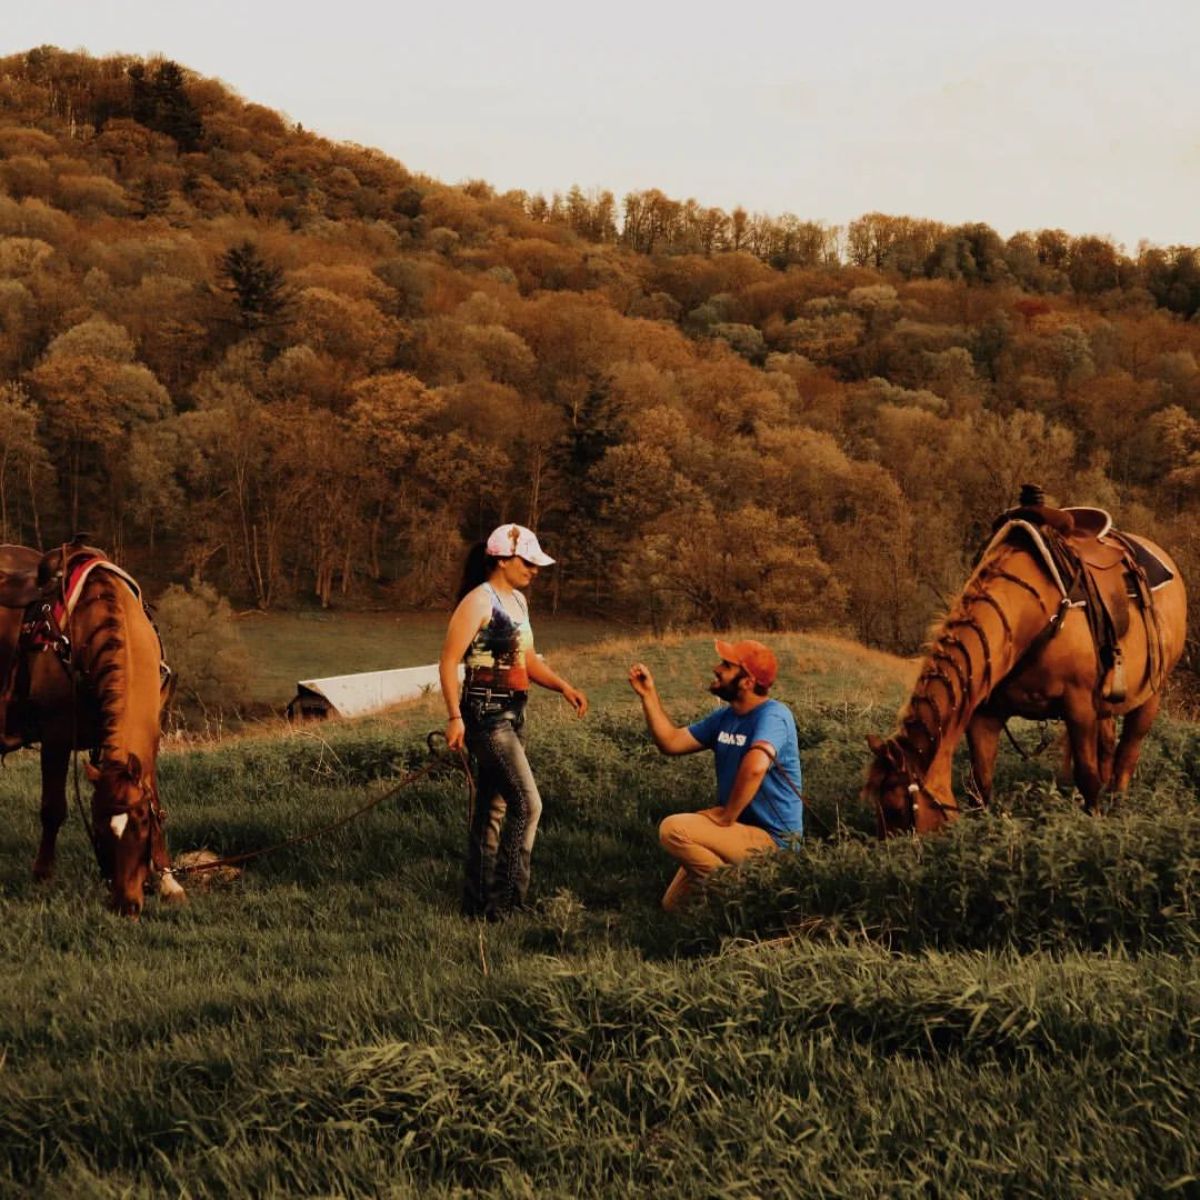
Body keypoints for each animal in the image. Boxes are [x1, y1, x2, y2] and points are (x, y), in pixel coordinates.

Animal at [2, 547, 184, 916]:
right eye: (99, 829)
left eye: (142, 824)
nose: (126, 904)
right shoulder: (56, 737)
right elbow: (53, 809)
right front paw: (42, 876)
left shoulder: (151, 734)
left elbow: (155, 797)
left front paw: (169, 881)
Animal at [864, 508, 1180, 835]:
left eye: (896, 809)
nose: (891, 846)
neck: (1027, 616)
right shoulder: (985, 715)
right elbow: (980, 785)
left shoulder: (1079, 707)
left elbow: (1087, 777)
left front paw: (1095, 824)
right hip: (1105, 706)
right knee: (1107, 747)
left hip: (1149, 698)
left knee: (1127, 754)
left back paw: (1118, 803)